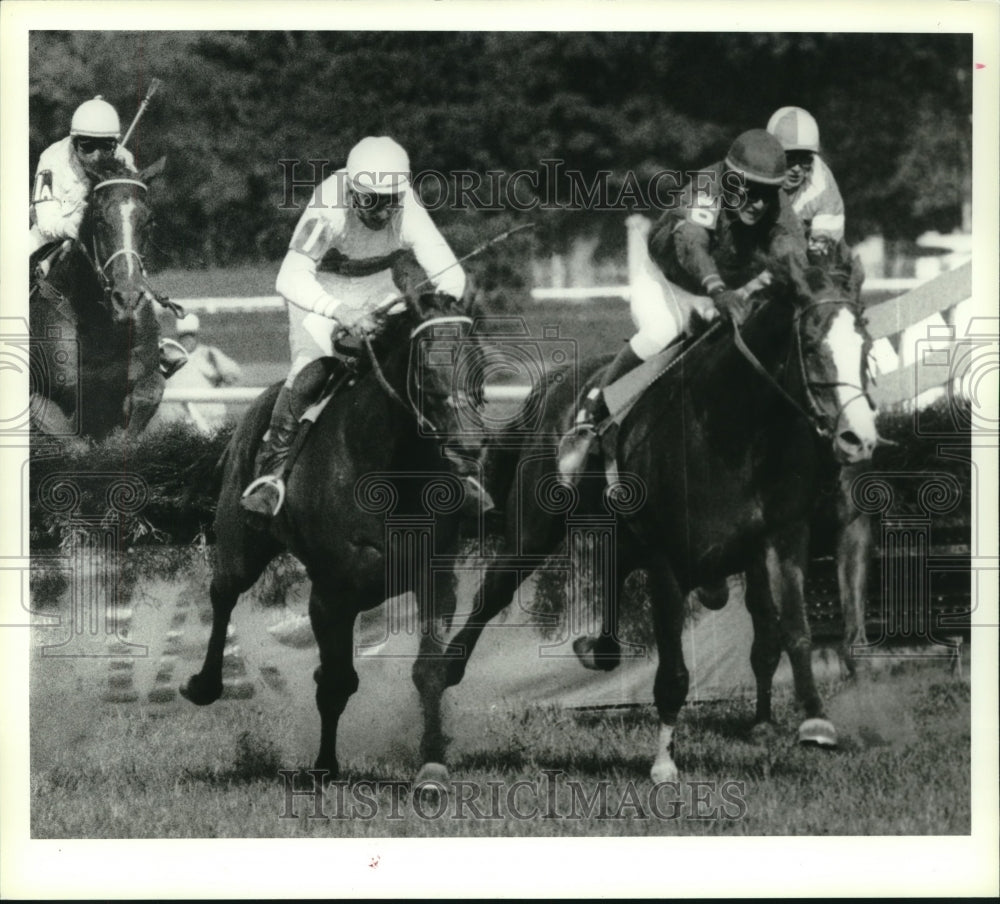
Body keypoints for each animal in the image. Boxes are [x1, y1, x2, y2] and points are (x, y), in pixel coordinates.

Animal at [29, 156, 166, 442]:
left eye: (150, 221)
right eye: (99, 219)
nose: (127, 299)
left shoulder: (145, 379)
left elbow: (146, 396)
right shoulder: (46, 403)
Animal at [184, 290, 488, 776]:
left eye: (479, 359)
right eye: (425, 366)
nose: (469, 445)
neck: (391, 471)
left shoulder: (436, 579)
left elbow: (430, 670)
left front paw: (432, 760)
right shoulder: (330, 592)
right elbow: (336, 681)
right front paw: (325, 763)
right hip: (240, 540)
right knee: (223, 592)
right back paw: (205, 684)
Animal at [410, 264, 880, 784]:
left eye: (866, 346)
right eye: (812, 346)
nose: (858, 439)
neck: (734, 425)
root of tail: (555, 382)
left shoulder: (792, 534)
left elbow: (801, 630)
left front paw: (827, 720)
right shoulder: (669, 560)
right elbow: (674, 673)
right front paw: (663, 763)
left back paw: (599, 649)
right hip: (532, 532)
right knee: (492, 593)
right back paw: (444, 675)